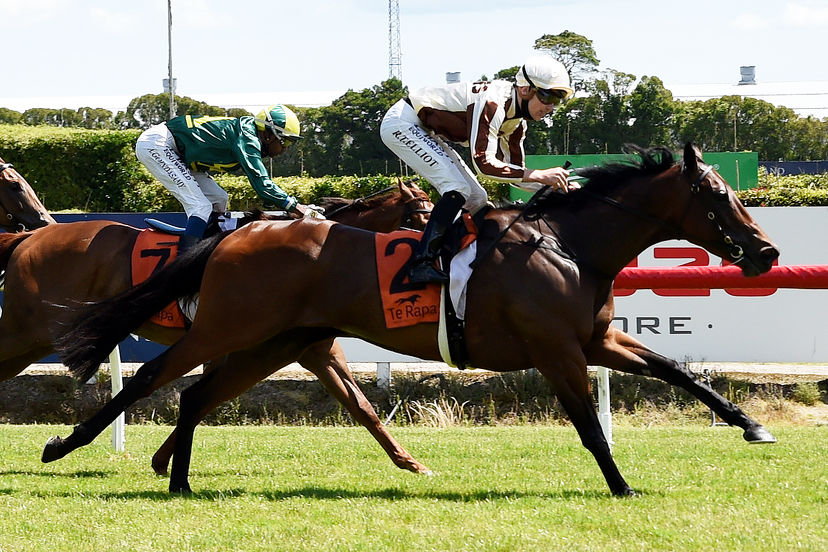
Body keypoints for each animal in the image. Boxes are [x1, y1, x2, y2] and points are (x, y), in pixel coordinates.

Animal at [50, 143, 776, 496]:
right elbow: (591, 429)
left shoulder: (594, 339)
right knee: (154, 382)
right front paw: (621, 486)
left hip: (279, 340)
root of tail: (240, 235)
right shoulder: (556, 350)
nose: (766, 252)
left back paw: (179, 480)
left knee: (197, 395)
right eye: (718, 196)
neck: (568, 246)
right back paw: (66, 447)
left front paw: (751, 426)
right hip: (228, 327)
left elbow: (679, 372)